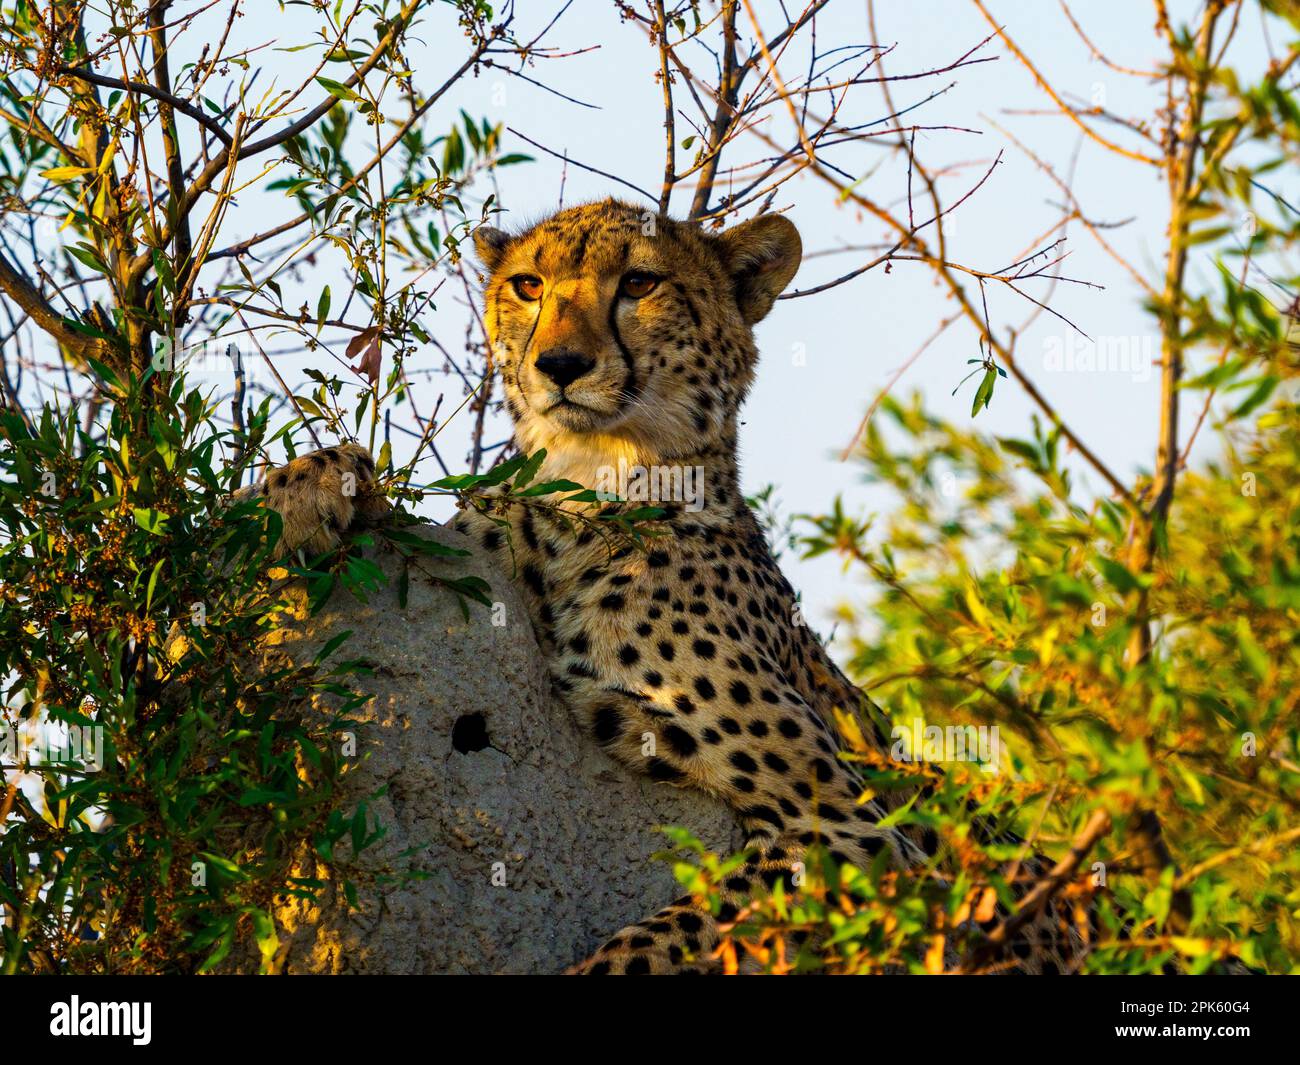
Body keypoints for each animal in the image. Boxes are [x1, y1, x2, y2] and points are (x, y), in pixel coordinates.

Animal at [248, 197, 1133, 972]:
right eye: (528, 285)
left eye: (639, 283)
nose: (560, 365)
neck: (595, 481)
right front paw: (302, 486)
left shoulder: (855, 833)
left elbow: (661, 935)